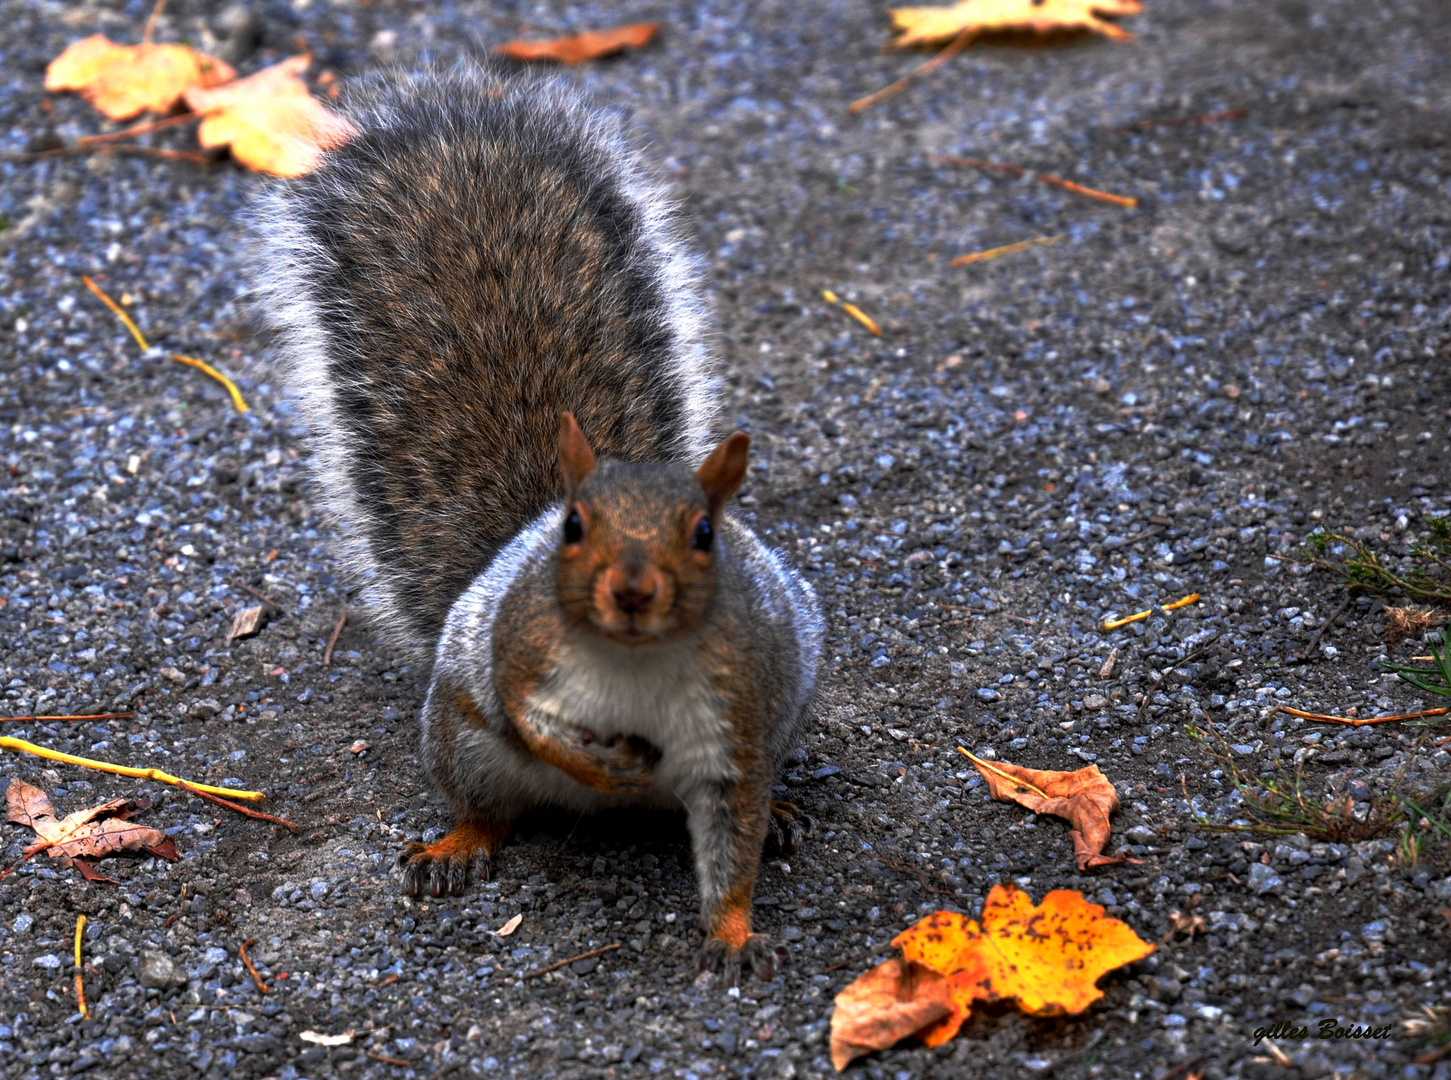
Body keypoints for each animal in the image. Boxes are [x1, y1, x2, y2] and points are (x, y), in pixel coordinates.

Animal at [253, 71, 824, 975]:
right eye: (575, 531)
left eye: (703, 535)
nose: (630, 592)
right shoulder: (515, 651)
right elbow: (526, 715)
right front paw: (586, 758)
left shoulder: (739, 720)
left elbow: (732, 844)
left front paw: (734, 933)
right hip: (460, 739)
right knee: (489, 806)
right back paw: (456, 848)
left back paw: (782, 818)